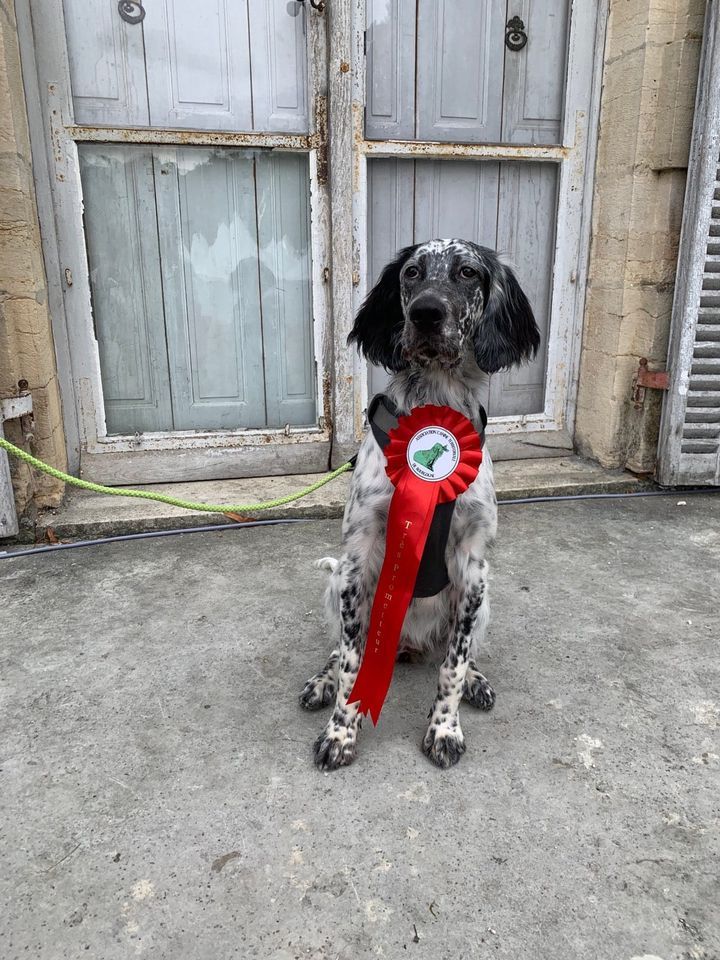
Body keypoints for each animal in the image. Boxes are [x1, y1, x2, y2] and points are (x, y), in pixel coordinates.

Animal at [300, 240, 540, 772]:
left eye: (468, 272)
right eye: (411, 273)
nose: (425, 313)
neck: (436, 400)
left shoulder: (473, 566)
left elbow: (453, 665)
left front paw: (445, 729)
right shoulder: (357, 561)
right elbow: (352, 666)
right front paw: (340, 733)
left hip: (483, 597)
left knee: (458, 651)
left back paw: (476, 680)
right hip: (336, 584)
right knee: (339, 653)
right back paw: (322, 681)